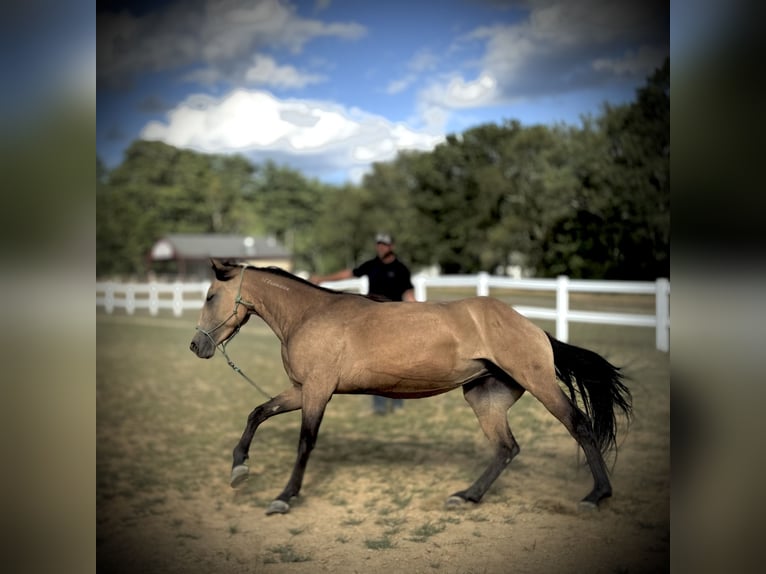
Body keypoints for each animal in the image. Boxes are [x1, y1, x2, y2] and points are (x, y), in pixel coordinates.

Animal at [190, 259, 632, 515]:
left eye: (210, 296)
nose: (197, 346)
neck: (310, 315)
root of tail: (532, 327)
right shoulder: (301, 390)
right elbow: (258, 413)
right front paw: (239, 468)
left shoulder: (316, 390)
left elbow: (305, 443)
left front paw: (284, 497)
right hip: (484, 396)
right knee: (507, 448)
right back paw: (465, 496)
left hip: (537, 382)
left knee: (579, 425)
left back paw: (596, 495)